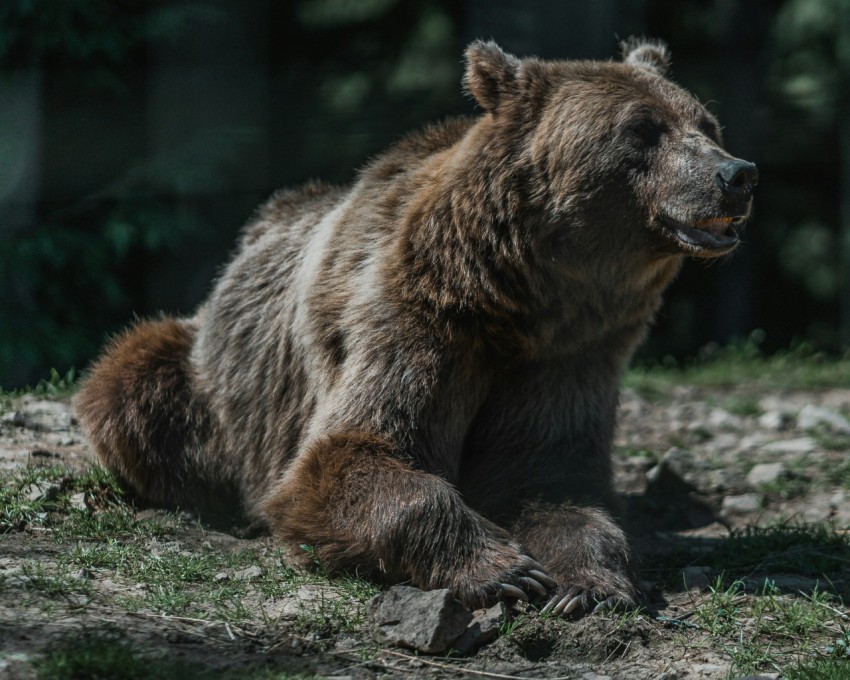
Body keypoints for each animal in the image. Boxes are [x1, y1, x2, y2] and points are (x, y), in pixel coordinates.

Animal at [76, 41, 756, 616]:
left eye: (706, 124)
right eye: (641, 129)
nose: (737, 173)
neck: (520, 300)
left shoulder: (572, 356)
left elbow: (551, 480)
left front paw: (584, 583)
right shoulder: (414, 321)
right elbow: (351, 453)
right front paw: (503, 568)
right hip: (201, 378)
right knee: (133, 387)